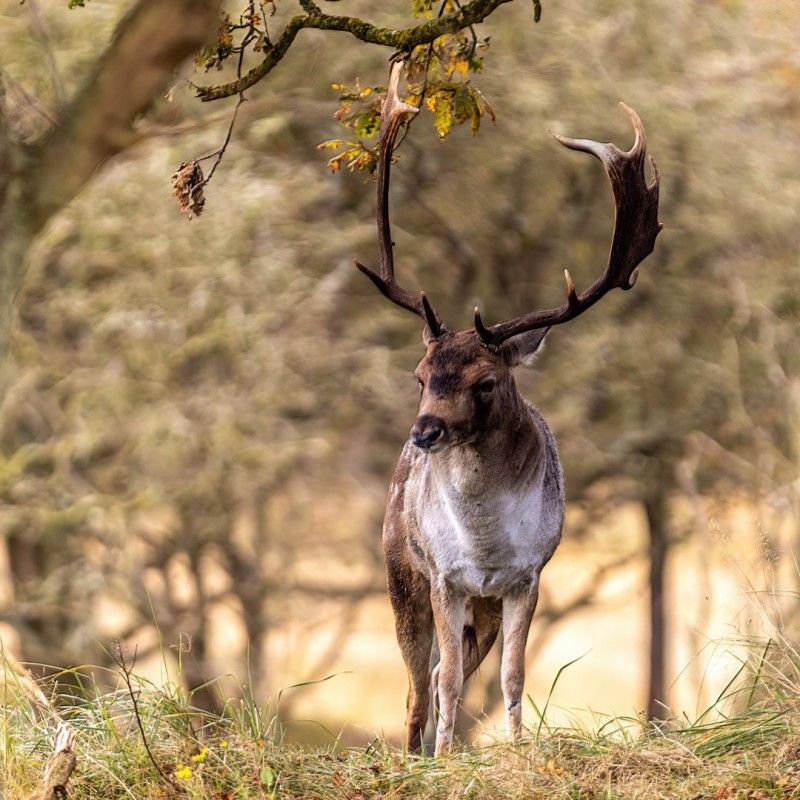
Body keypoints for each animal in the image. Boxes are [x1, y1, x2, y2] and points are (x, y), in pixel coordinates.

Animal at [356, 61, 664, 756]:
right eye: (420, 376)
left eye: (487, 383)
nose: (425, 431)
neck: (487, 547)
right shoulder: (445, 576)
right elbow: (444, 681)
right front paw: (444, 760)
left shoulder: (529, 576)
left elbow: (515, 675)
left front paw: (519, 751)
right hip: (401, 572)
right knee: (419, 683)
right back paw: (415, 754)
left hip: (484, 606)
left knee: (442, 673)